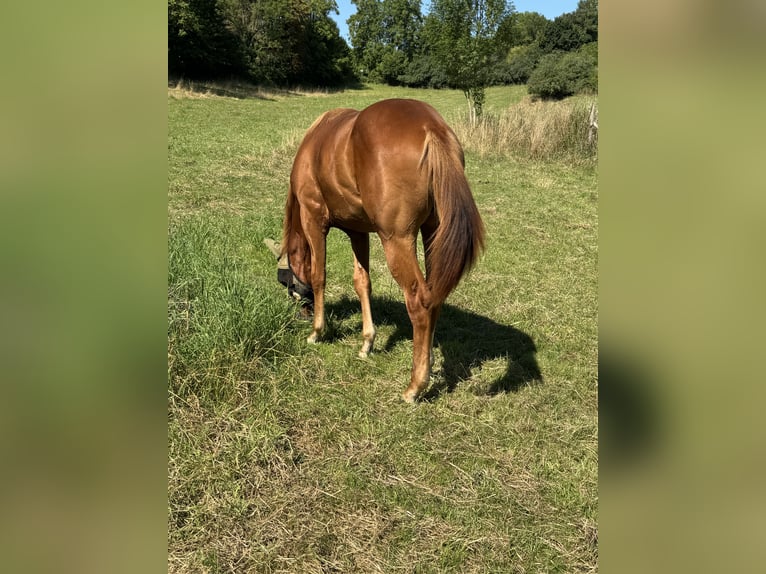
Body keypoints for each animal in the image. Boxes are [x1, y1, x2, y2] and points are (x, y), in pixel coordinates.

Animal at [280, 98, 485, 402]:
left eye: (288, 282)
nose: (301, 313)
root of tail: (431, 128)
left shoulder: (313, 219)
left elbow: (319, 276)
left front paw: (317, 332)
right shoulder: (358, 231)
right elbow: (362, 282)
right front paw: (367, 342)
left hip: (397, 240)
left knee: (420, 301)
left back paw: (415, 385)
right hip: (432, 233)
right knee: (434, 297)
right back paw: (427, 362)